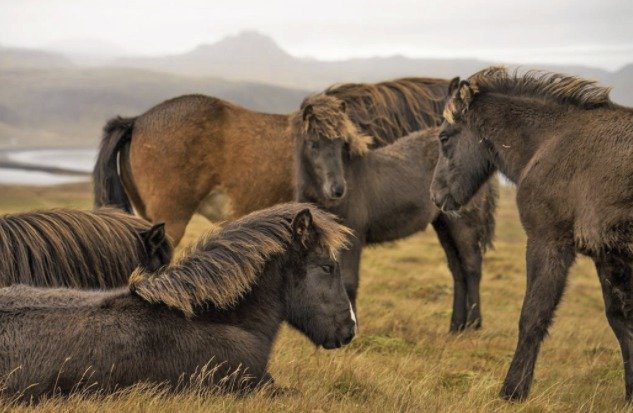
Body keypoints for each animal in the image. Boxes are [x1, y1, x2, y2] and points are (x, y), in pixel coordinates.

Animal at [294, 101, 496, 330]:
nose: (337, 189)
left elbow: (348, 282)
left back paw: (474, 324)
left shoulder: (353, 239)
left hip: (463, 224)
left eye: (341, 144)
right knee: (457, 270)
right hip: (443, 225)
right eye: (313, 144)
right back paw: (456, 327)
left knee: (471, 267)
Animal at [432, 67, 632, 400]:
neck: (551, 141)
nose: (435, 196)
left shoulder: (547, 242)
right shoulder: (607, 256)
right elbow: (621, 320)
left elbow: (532, 316)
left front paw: (513, 390)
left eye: (444, 137)